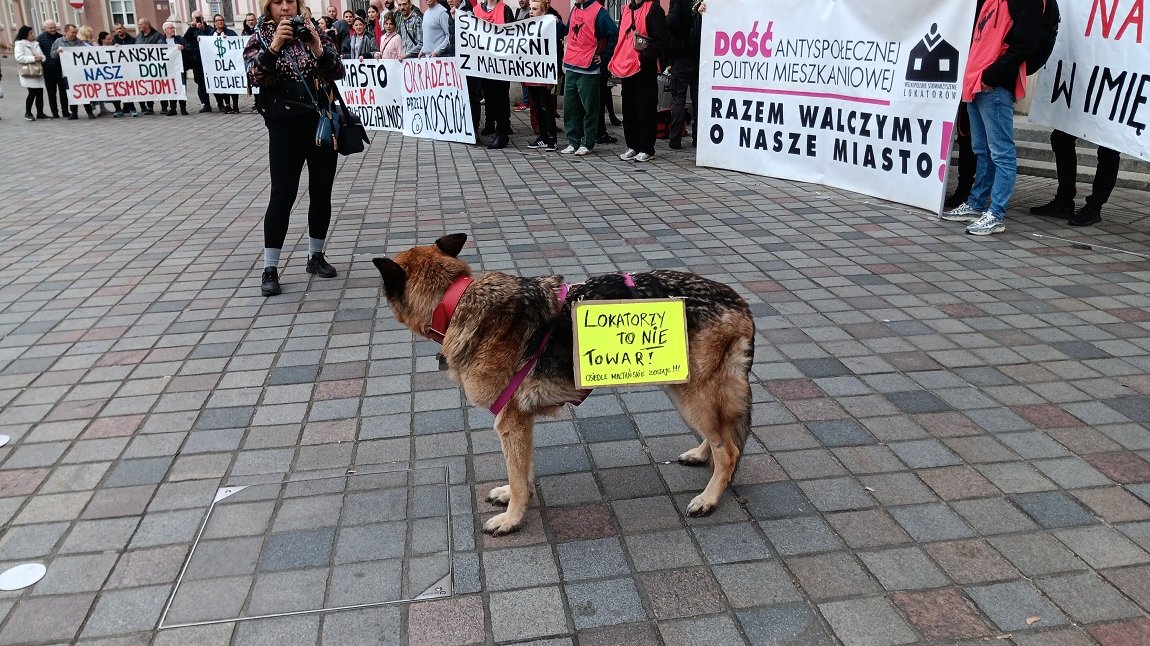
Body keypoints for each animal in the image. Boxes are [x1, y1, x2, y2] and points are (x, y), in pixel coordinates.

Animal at [372, 232, 759, 533]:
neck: (455, 301)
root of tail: (738, 300)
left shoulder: (508, 423)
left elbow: (518, 474)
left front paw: (512, 519)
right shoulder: (520, 423)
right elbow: (523, 472)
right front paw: (514, 497)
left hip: (691, 394)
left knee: (729, 449)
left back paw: (709, 498)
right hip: (684, 389)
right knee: (720, 435)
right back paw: (701, 455)